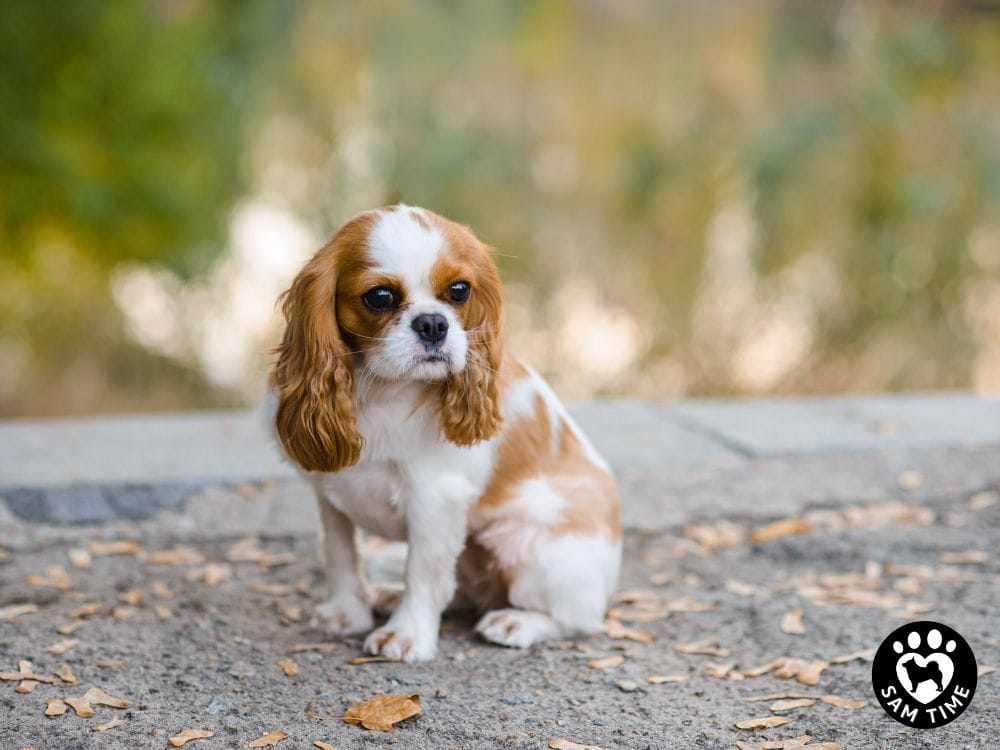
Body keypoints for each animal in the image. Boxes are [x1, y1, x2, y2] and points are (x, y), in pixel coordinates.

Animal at [270, 206, 620, 664]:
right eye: (379, 297)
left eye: (459, 291)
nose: (433, 323)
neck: (379, 390)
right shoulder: (330, 493)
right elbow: (342, 555)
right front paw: (347, 612)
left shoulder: (434, 500)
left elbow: (423, 572)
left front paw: (406, 634)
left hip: (531, 550)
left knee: (579, 619)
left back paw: (517, 622)